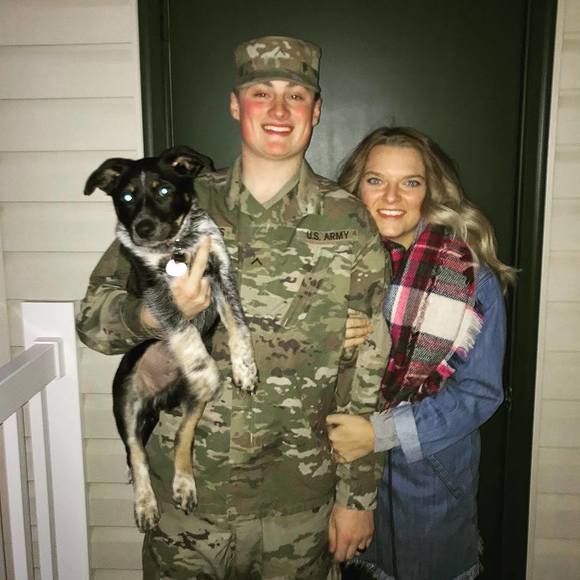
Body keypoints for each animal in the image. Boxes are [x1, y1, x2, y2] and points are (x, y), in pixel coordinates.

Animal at [84, 145, 258, 532]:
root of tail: (161, 400)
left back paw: (184, 484)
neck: (176, 245)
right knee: (136, 453)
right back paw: (146, 505)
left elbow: (238, 324)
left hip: (192, 404)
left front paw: (245, 370)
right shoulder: (158, 294)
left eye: (164, 190)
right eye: (126, 197)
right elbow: (186, 333)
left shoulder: (221, 273)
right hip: (126, 398)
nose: (142, 228)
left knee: (182, 436)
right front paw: (207, 371)